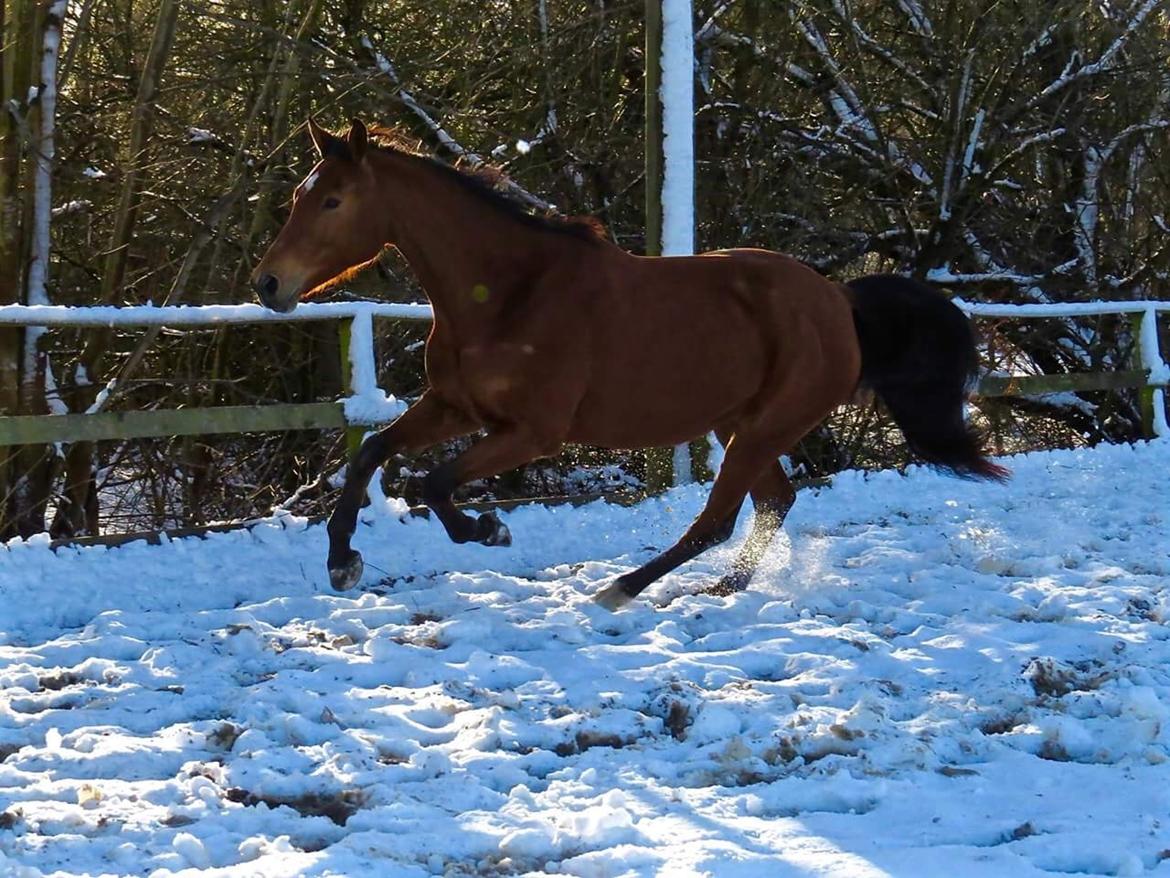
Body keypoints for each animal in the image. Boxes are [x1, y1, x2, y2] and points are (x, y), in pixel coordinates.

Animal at [249, 118, 1006, 613]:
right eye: (300, 194)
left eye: (333, 199)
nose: (268, 284)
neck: (509, 292)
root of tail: (838, 299)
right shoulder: (455, 407)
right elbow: (372, 452)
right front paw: (342, 562)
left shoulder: (532, 432)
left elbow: (432, 484)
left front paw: (489, 529)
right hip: (739, 424)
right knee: (772, 503)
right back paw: (721, 588)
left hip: (765, 427)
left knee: (718, 518)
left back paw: (622, 589)